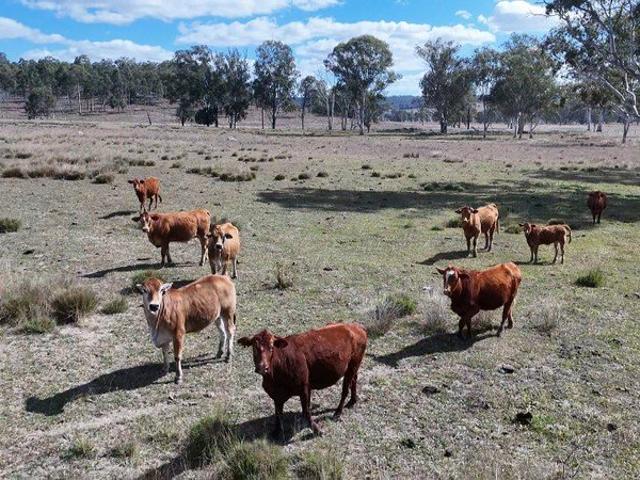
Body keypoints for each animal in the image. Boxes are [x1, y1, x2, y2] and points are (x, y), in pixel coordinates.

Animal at [238, 323, 367, 436]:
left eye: (271, 347)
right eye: (254, 347)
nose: (262, 367)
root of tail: (355, 326)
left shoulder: (304, 387)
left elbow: (306, 411)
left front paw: (317, 430)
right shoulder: (276, 395)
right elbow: (278, 414)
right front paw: (276, 432)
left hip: (353, 364)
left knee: (345, 389)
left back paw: (337, 413)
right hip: (353, 366)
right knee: (354, 380)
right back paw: (352, 401)